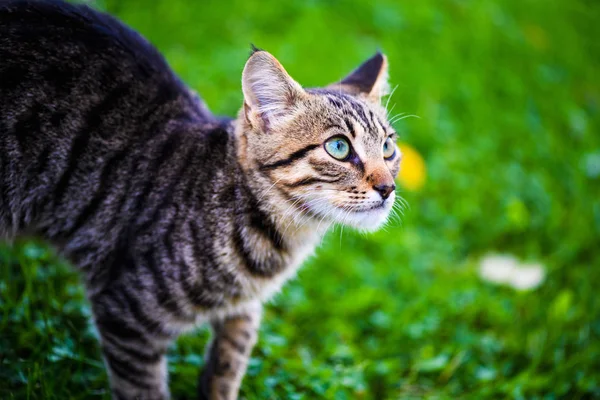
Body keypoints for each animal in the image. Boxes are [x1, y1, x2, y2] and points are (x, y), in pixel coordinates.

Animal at [1, 0, 404, 400]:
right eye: (338, 148)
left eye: (388, 148)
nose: (388, 188)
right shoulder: (127, 314)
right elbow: (143, 388)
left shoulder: (243, 313)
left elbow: (226, 368)